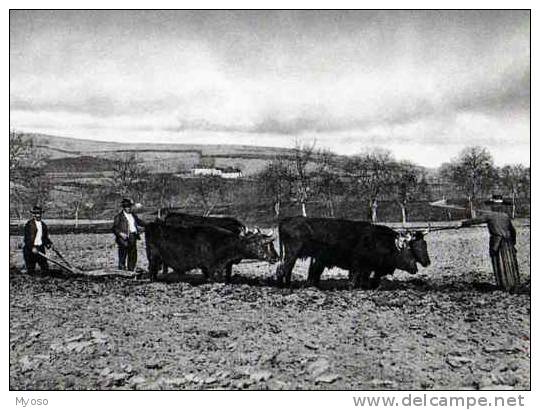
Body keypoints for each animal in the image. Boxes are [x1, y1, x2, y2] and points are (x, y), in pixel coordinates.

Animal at [144, 221, 278, 282]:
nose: (276, 257)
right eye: (265, 244)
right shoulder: (211, 267)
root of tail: (152, 224)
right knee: (152, 270)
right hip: (153, 258)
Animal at [276, 218, 432, 288]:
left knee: (285, 269)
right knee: (285, 268)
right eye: (410, 250)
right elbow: (354, 279)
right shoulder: (358, 265)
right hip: (292, 253)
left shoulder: (372, 268)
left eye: (425, 244)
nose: (426, 263)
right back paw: (285, 286)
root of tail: (286, 220)